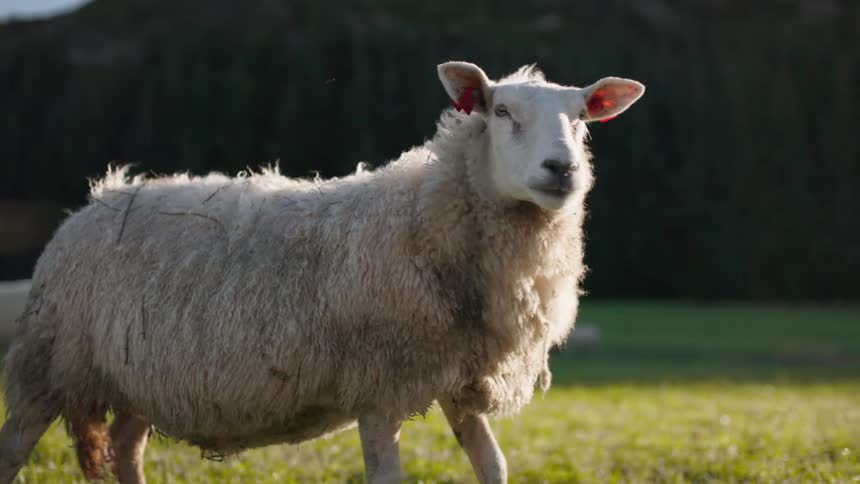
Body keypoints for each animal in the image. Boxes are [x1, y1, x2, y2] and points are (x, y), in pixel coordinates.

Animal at [0, 61, 644, 484]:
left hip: (144, 378)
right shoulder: (379, 383)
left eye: (582, 119)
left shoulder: (456, 373)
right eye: (502, 110)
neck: (427, 213)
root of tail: (96, 200)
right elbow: (388, 476)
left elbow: (494, 465)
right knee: (14, 449)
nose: (562, 169)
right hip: (47, 363)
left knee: (126, 447)